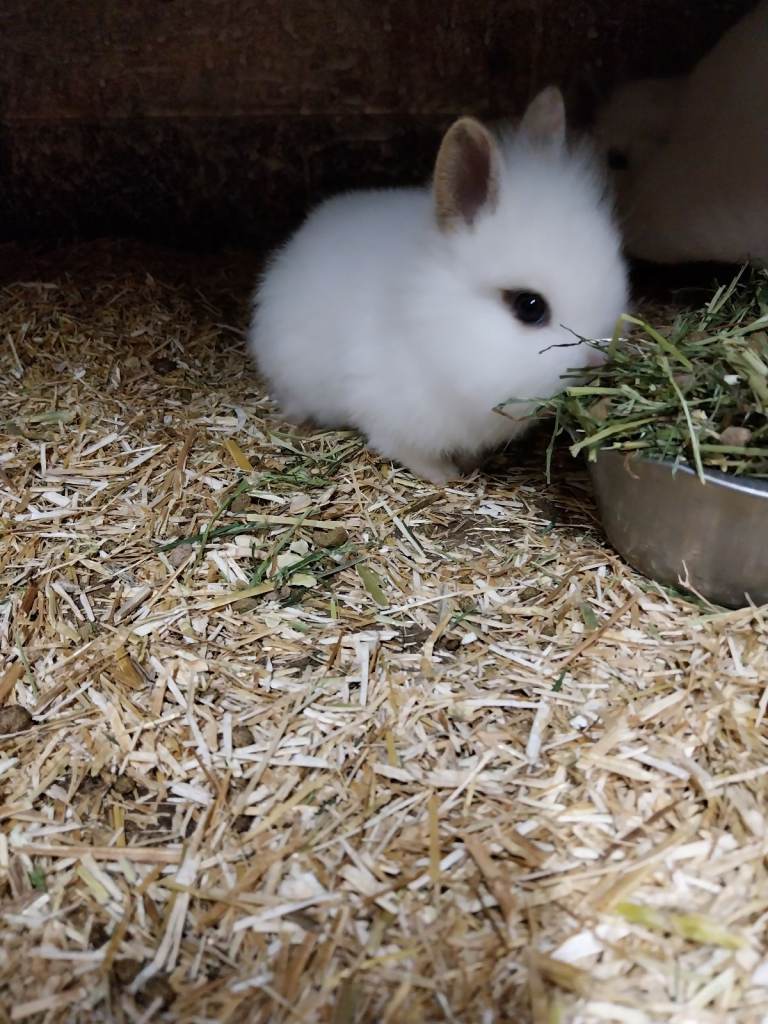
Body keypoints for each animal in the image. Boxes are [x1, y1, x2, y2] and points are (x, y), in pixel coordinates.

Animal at [248, 86, 628, 484]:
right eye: (529, 306)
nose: (599, 359)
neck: (430, 328)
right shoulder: (391, 414)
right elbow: (411, 453)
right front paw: (446, 476)